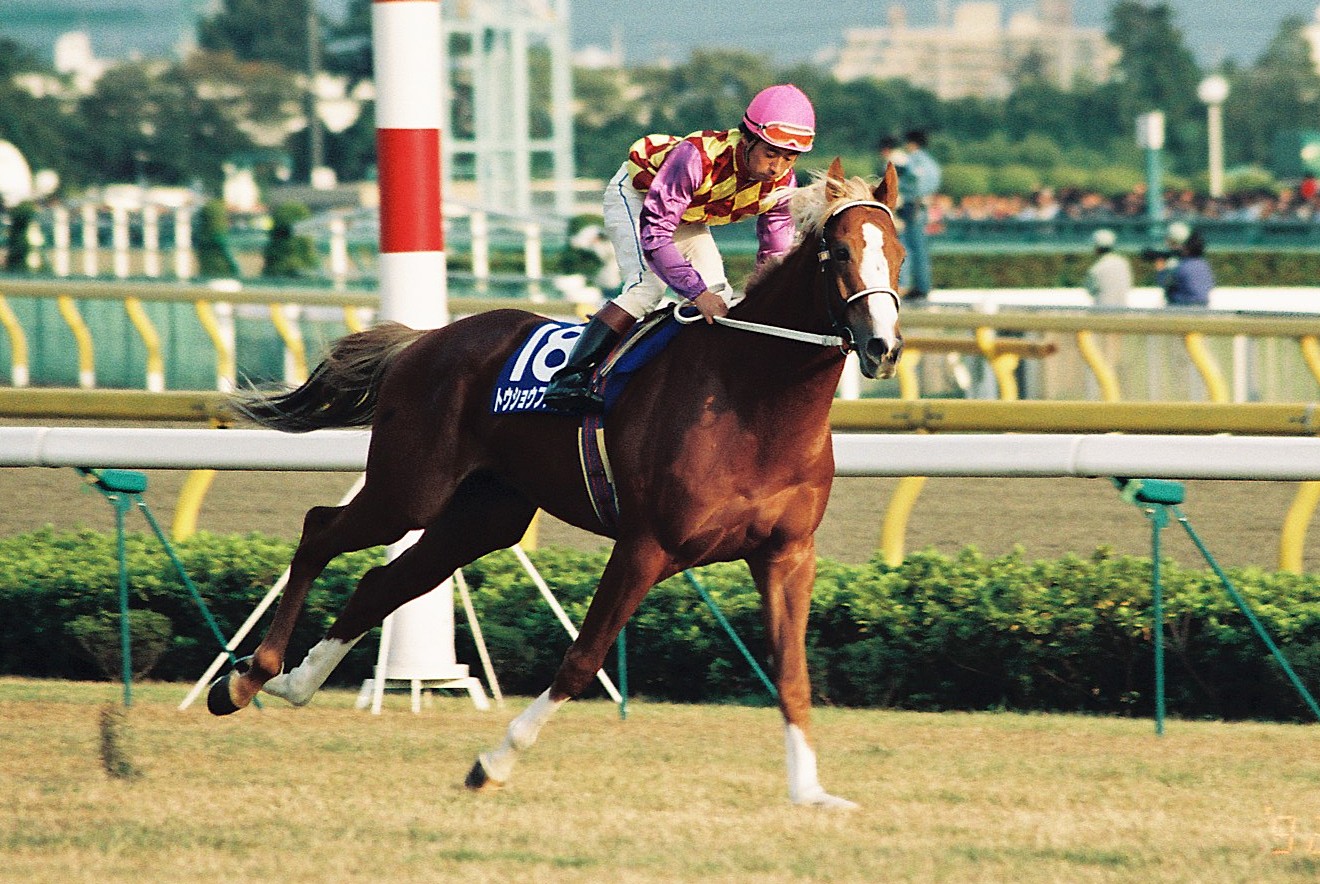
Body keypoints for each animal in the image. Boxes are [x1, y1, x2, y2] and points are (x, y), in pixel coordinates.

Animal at [207, 158, 905, 808]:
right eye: (841, 253)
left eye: (896, 255)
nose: (884, 347)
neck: (751, 398)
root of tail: (426, 339)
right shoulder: (646, 545)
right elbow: (581, 660)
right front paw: (492, 763)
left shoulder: (787, 555)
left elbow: (792, 674)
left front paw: (810, 791)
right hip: (409, 489)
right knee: (320, 530)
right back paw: (248, 677)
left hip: (484, 514)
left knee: (383, 582)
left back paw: (293, 683)